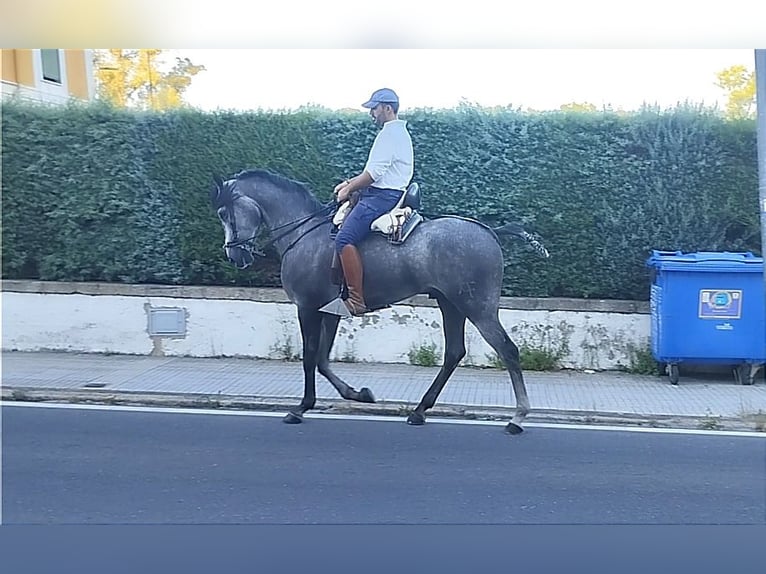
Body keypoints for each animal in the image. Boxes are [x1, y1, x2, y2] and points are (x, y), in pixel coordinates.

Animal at [210, 169, 548, 434]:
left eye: (224, 213)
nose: (234, 254)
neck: (305, 232)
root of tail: (489, 230)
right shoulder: (330, 311)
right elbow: (322, 360)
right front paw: (358, 394)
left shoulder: (307, 308)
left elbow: (309, 358)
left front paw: (302, 407)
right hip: (450, 304)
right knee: (454, 352)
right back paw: (419, 411)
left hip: (477, 307)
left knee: (507, 350)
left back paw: (518, 417)